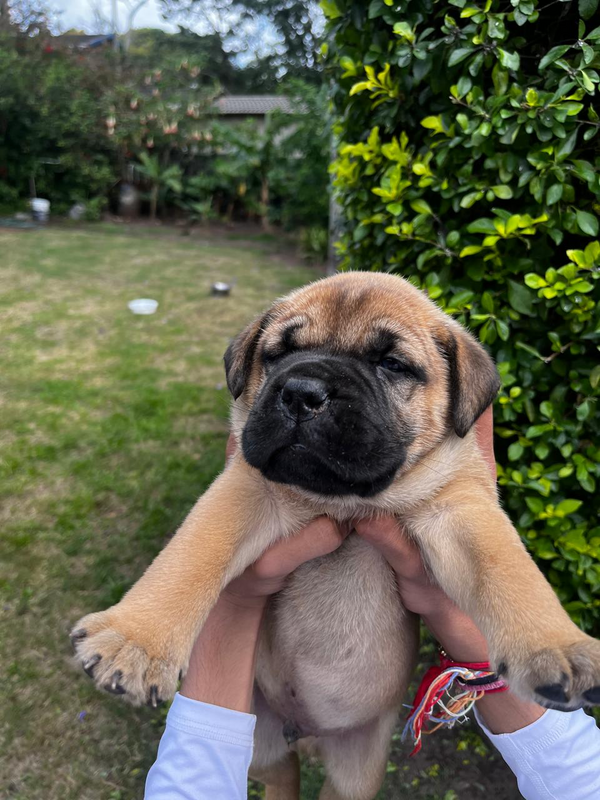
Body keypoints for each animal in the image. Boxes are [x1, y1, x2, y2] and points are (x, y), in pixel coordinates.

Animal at [71, 270, 600, 800]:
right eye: (278, 353)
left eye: (392, 364)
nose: (302, 392)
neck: (346, 501)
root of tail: (308, 731)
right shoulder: (245, 488)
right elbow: (193, 551)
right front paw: (136, 640)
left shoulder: (461, 509)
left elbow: (507, 570)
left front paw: (558, 646)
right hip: (263, 745)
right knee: (282, 779)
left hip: (356, 772)